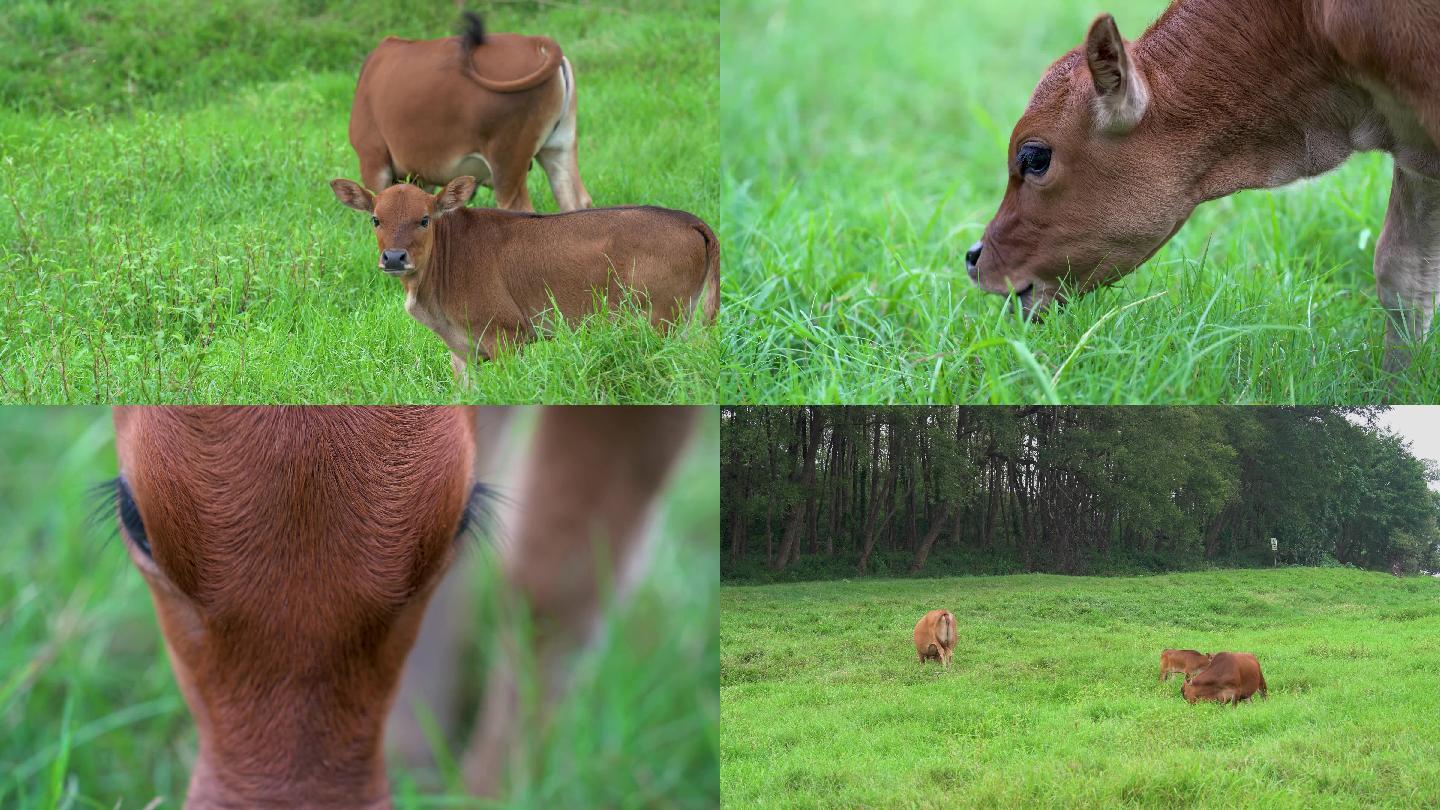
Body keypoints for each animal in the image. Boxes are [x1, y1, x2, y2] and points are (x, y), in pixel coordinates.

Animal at [334, 176, 720, 377]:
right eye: (376, 219)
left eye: (425, 219)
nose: (394, 257)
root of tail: (687, 219)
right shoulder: (462, 354)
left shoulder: (506, 335)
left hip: (662, 319)